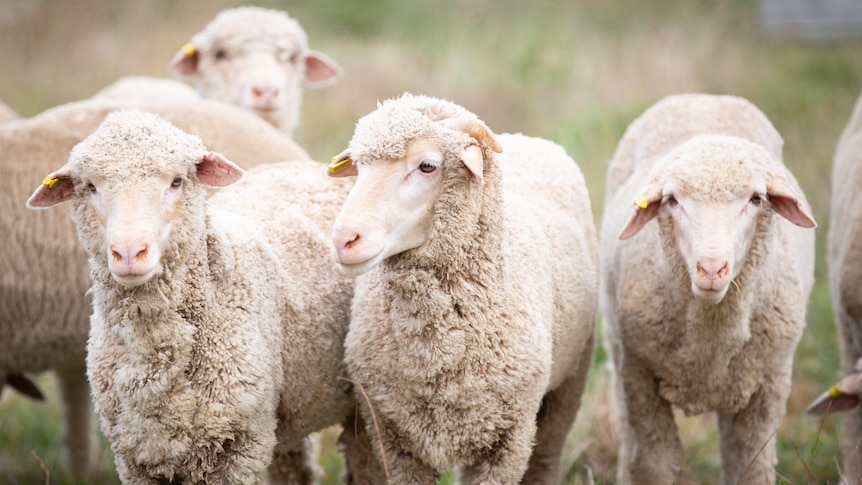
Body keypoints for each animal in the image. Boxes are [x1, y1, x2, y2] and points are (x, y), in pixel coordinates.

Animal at [26, 109, 364, 484]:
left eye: (176, 181)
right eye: (90, 186)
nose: (129, 253)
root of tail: (302, 165)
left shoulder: (241, 446)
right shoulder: (134, 456)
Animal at [328, 93, 596, 484]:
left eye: (427, 166)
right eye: (359, 167)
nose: (343, 240)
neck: (437, 356)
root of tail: (524, 137)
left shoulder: (507, 441)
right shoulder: (393, 439)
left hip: (568, 385)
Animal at [596, 92, 820, 482]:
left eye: (755, 199)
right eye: (673, 200)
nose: (712, 268)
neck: (712, 338)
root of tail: (702, 98)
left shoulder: (769, 385)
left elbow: (753, 465)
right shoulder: (639, 377)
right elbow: (655, 460)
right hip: (616, 345)